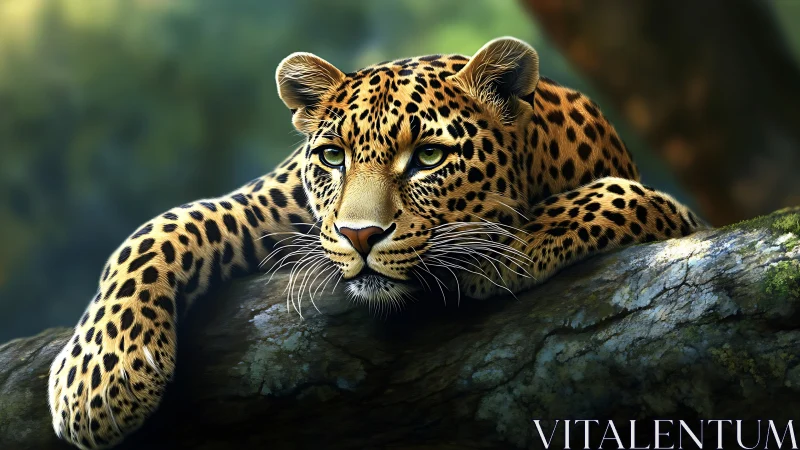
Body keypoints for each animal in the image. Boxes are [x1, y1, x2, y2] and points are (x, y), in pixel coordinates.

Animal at [48, 37, 706, 449]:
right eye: (333, 157)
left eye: (431, 157)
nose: (359, 235)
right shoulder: (267, 200)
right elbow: (161, 227)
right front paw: (96, 380)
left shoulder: (671, 211)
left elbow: (627, 195)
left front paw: (503, 247)